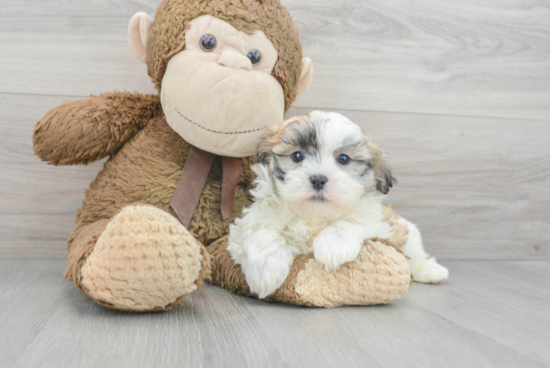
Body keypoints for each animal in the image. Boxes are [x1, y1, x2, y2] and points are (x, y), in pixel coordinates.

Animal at [227, 111, 448, 300]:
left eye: (343, 159)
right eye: (297, 156)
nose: (318, 179)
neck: (313, 216)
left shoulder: (378, 223)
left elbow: (349, 222)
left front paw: (334, 245)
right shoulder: (253, 218)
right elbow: (262, 231)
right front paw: (266, 269)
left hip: (407, 233)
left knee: (416, 255)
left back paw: (431, 271)